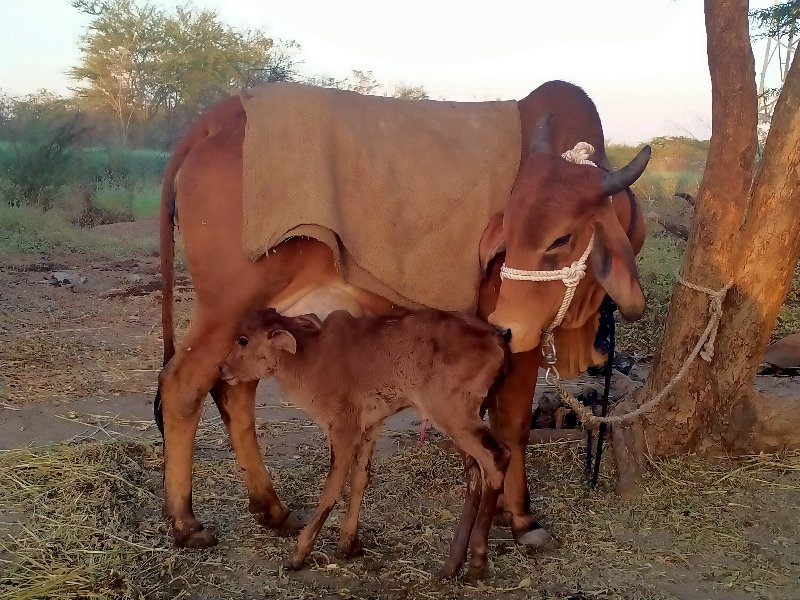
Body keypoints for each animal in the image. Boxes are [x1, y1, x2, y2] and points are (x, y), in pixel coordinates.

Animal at [156, 79, 648, 548]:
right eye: (509, 229)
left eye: (562, 238)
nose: (506, 325)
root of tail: (221, 115)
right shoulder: (516, 334)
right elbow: (513, 426)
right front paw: (524, 519)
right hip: (224, 309)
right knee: (182, 387)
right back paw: (185, 522)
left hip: (256, 319)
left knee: (236, 392)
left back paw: (272, 510)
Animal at [220, 308, 512, 580]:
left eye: (243, 340)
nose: (222, 369)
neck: (311, 358)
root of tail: (496, 337)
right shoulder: (371, 425)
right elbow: (360, 478)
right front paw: (347, 543)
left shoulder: (343, 429)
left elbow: (332, 489)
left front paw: (298, 554)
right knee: (475, 475)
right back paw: (451, 565)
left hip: (452, 414)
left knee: (496, 457)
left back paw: (476, 562)